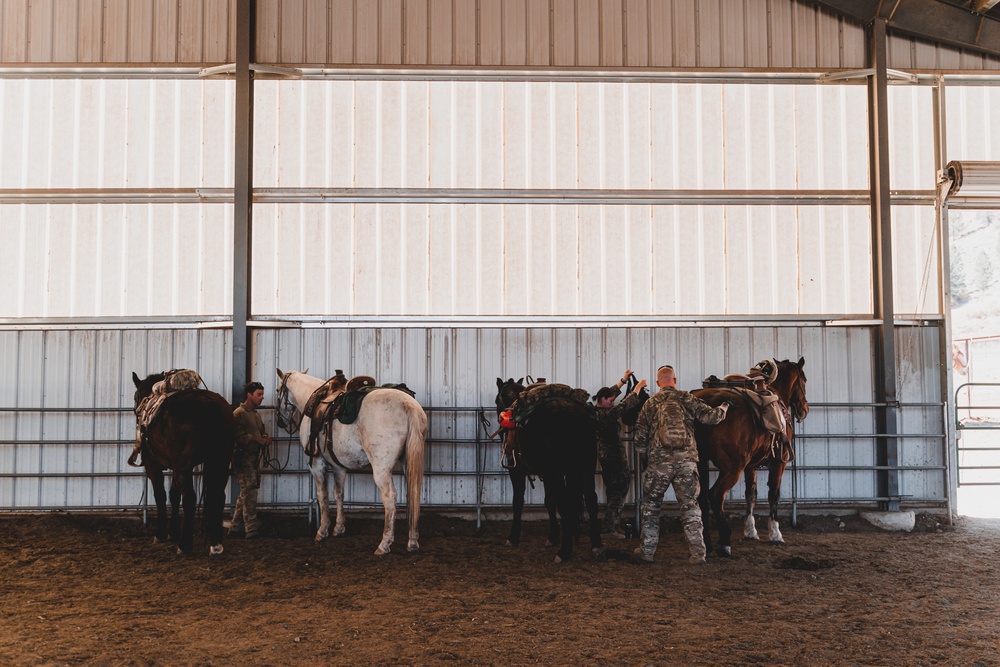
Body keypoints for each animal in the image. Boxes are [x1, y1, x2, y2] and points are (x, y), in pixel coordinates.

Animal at [130, 374, 235, 556]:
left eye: (136, 396)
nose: (137, 411)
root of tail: (209, 404)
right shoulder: (175, 466)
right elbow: (174, 495)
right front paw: (173, 531)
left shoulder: (153, 464)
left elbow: (160, 495)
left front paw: (161, 534)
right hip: (220, 462)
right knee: (218, 497)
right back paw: (216, 544)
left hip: (184, 467)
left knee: (190, 499)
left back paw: (185, 545)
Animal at [276, 368, 428, 556]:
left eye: (278, 390)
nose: (280, 421)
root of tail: (408, 406)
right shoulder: (338, 466)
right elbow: (338, 493)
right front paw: (339, 528)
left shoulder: (316, 463)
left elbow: (322, 495)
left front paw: (322, 531)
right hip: (409, 462)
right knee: (413, 493)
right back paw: (412, 542)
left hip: (381, 468)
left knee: (390, 497)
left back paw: (384, 544)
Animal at [494, 380, 600, 564]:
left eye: (496, 401)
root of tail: (574, 416)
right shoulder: (550, 473)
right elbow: (550, 501)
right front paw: (553, 537)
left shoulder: (517, 471)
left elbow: (518, 501)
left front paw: (513, 537)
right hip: (585, 467)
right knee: (591, 500)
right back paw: (596, 546)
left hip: (557, 472)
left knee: (565, 504)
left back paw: (564, 551)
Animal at [696, 360, 812, 560]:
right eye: (803, 380)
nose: (805, 409)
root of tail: (708, 404)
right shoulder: (779, 463)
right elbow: (774, 494)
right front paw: (775, 533)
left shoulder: (750, 466)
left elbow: (751, 494)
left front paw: (750, 531)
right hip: (732, 468)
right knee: (716, 495)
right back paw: (724, 543)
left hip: (700, 463)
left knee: (702, 497)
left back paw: (708, 545)